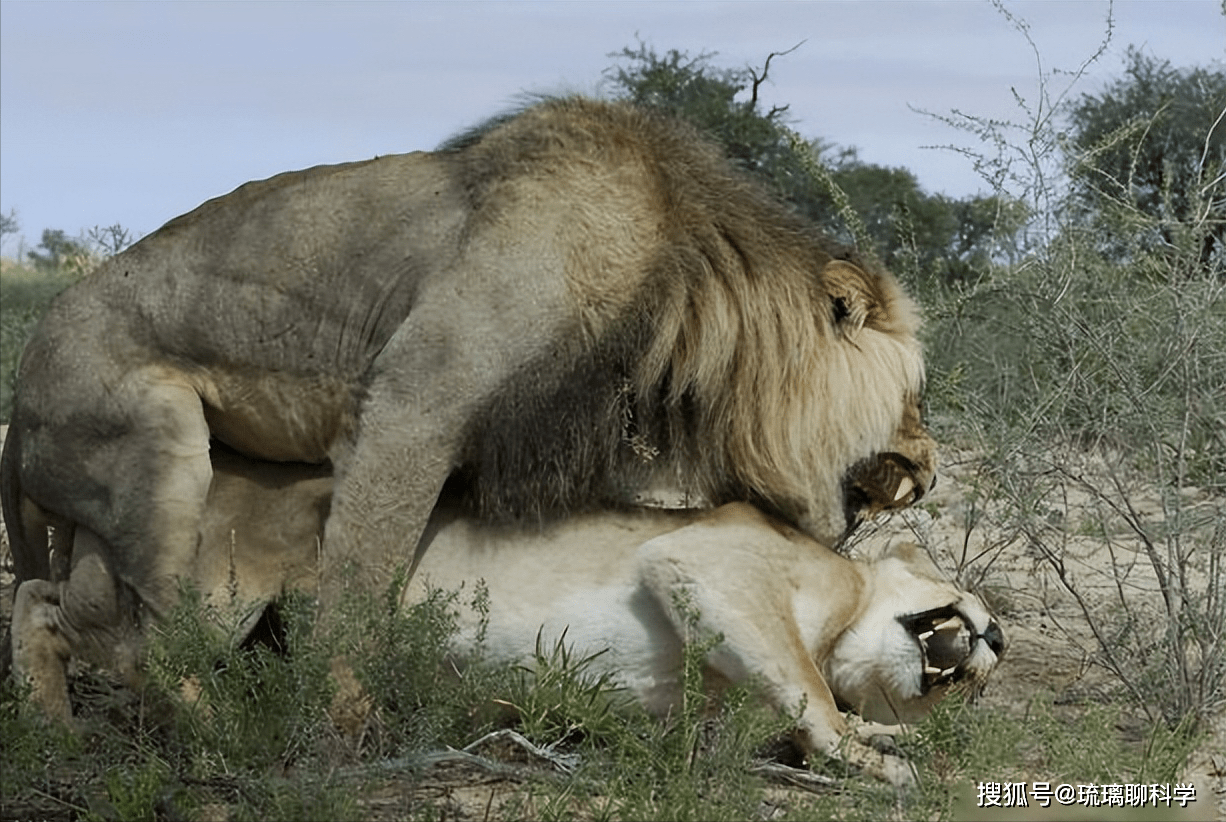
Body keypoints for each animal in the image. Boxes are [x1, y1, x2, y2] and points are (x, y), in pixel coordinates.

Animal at [2, 98, 936, 618]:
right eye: (917, 394)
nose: (929, 467)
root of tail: (16, 404)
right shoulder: (409, 409)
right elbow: (360, 587)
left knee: (71, 598)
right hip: (156, 446)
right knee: (157, 622)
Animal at [14, 453, 1000, 790]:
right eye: (974, 612)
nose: (994, 643)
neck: (850, 616)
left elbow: (783, 718)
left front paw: (888, 738)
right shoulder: (703, 565)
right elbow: (815, 703)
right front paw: (886, 758)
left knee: (53, 610)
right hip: (225, 590)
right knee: (95, 632)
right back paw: (196, 732)